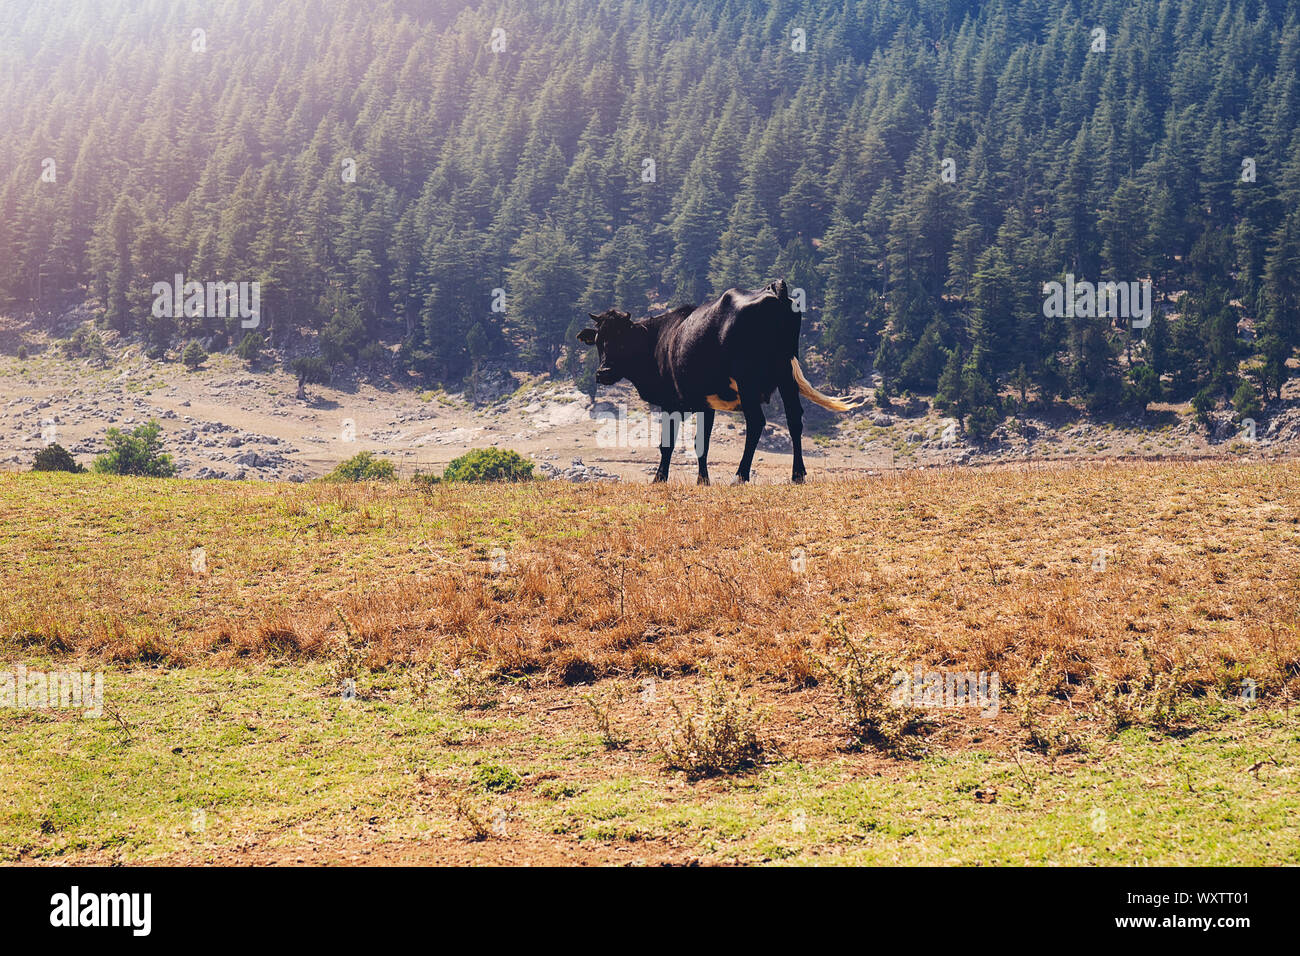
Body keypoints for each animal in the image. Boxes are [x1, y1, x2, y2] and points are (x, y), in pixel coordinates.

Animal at [577, 280, 861, 485]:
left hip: (748, 380)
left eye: (623, 341)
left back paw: (740, 475)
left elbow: (667, 444)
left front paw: (659, 479)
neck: (658, 341)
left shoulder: (671, 403)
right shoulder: (707, 405)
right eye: (599, 342)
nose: (603, 372)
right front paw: (702, 480)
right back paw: (797, 475)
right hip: (785, 374)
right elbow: (701, 443)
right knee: (794, 419)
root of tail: (774, 290)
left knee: (756, 422)